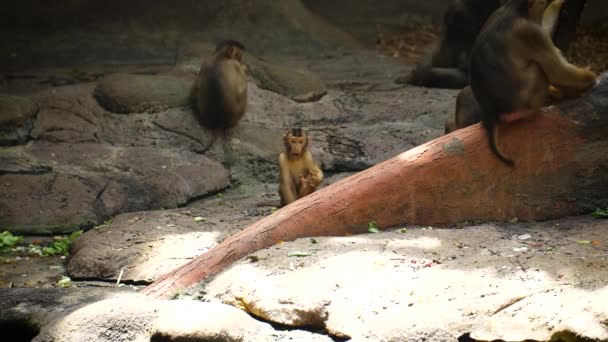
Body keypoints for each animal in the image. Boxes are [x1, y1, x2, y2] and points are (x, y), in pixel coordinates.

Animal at [468, 0, 596, 166]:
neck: (513, 10)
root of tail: (491, 112)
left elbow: (546, 30)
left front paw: (557, 3)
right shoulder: (530, 32)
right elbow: (557, 71)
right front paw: (591, 78)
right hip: (525, 102)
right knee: (538, 68)